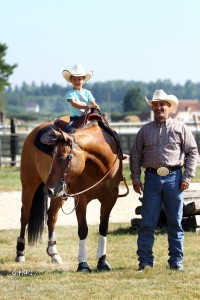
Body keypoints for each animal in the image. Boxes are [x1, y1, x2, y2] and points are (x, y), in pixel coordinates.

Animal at [15, 112, 128, 272]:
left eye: (62, 158)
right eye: (52, 157)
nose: (48, 189)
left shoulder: (110, 198)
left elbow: (103, 228)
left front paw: (102, 261)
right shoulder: (81, 199)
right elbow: (83, 230)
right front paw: (83, 264)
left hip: (58, 194)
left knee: (51, 217)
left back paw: (54, 254)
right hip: (30, 186)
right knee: (25, 215)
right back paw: (20, 253)